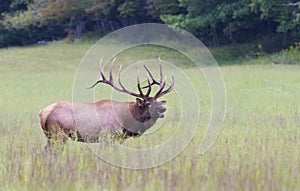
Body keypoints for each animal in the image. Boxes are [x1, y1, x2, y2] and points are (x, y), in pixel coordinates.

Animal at [38, 59, 173, 148]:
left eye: (157, 101)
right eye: (148, 103)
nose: (163, 107)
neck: (126, 122)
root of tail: (43, 113)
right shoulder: (107, 137)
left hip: (49, 136)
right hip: (59, 134)